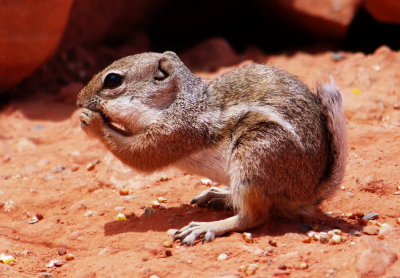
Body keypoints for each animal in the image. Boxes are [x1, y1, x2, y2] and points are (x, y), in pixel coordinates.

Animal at [76, 50, 346, 245]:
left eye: (113, 80)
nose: (78, 101)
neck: (175, 101)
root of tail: (309, 192)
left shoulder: (176, 131)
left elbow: (142, 156)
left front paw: (93, 121)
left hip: (254, 154)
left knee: (254, 216)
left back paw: (206, 227)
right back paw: (218, 195)